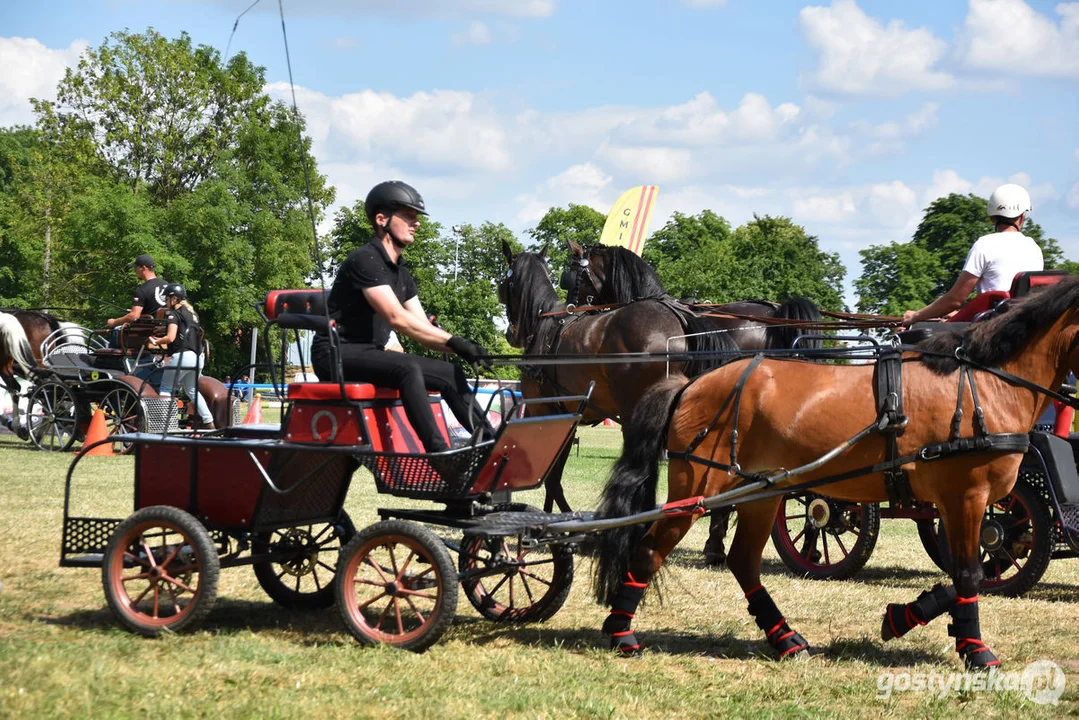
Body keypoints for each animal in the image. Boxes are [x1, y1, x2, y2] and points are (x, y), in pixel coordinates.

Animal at [591, 276, 1079, 669]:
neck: (987, 384)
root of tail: (691, 384)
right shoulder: (966, 498)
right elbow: (969, 573)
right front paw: (976, 651)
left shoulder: (957, 504)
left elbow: (961, 573)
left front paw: (905, 616)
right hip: (698, 488)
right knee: (650, 550)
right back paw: (622, 633)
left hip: (760, 493)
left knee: (743, 562)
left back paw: (786, 639)